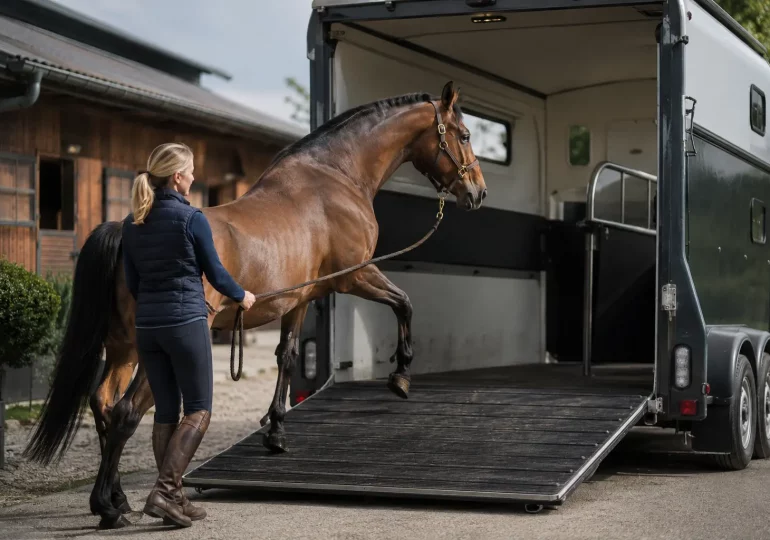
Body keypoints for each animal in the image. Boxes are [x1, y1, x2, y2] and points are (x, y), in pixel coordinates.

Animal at [22, 81, 487, 529]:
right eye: (464, 135)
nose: (478, 192)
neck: (336, 176)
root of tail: (124, 228)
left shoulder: (300, 298)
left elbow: (288, 356)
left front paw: (276, 431)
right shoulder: (354, 276)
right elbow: (403, 304)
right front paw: (401, 375)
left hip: (124, 348)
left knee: (102, 405)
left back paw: (116, 500)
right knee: (125, 413)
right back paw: (114, 507)